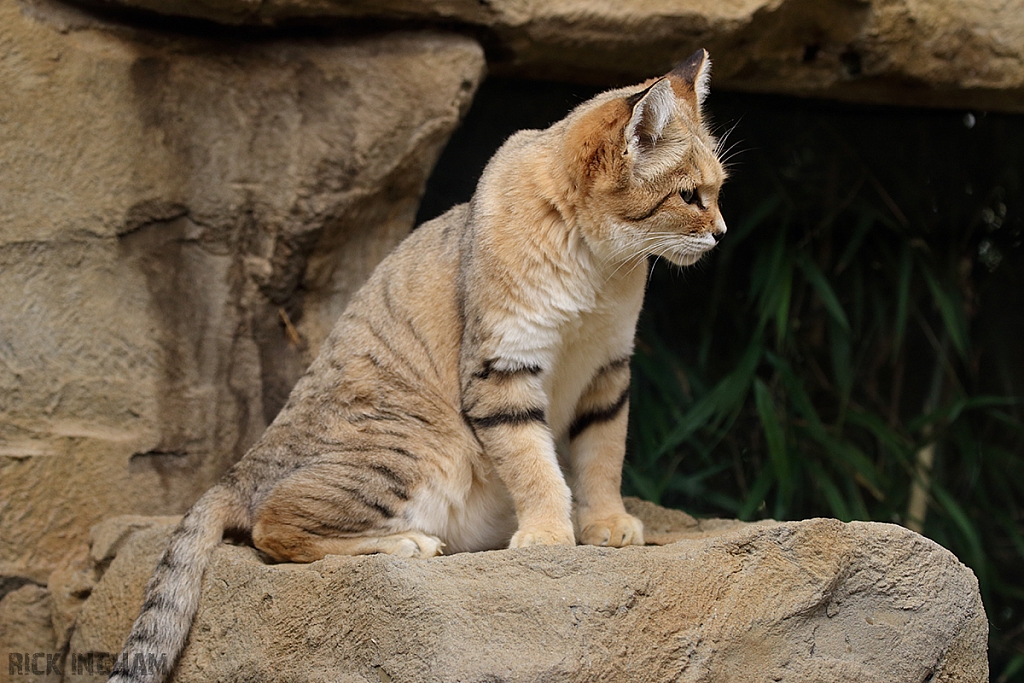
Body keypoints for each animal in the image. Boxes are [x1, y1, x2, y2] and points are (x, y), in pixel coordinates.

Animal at [110, 49, 729, 683]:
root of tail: (239, 469)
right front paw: (549, 536)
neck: (598, 265)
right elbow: (534, 463)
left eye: (719, 190)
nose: (722, 233)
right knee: (271, 525)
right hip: (420, 450)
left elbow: (603, 454)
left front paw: (606, 524)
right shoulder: (502, 367)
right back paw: (407, 544)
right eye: (689, 196)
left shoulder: (607, 369)